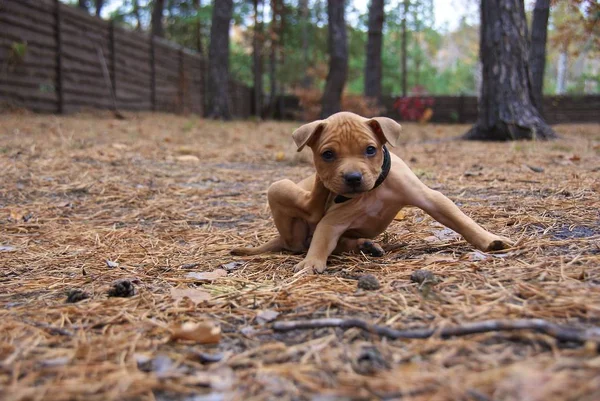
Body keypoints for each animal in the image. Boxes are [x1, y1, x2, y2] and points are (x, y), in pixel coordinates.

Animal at [232, 111, 512, 274]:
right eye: (328, 154)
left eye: (370, 149)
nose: (353, 178)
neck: (374, 191)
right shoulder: (333, 221)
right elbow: (321, 240)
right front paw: (312, 263)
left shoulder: (430, 198)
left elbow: (460, 220)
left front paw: (490, 239)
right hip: (279, 189)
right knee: (305, 227)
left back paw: (365, 245)